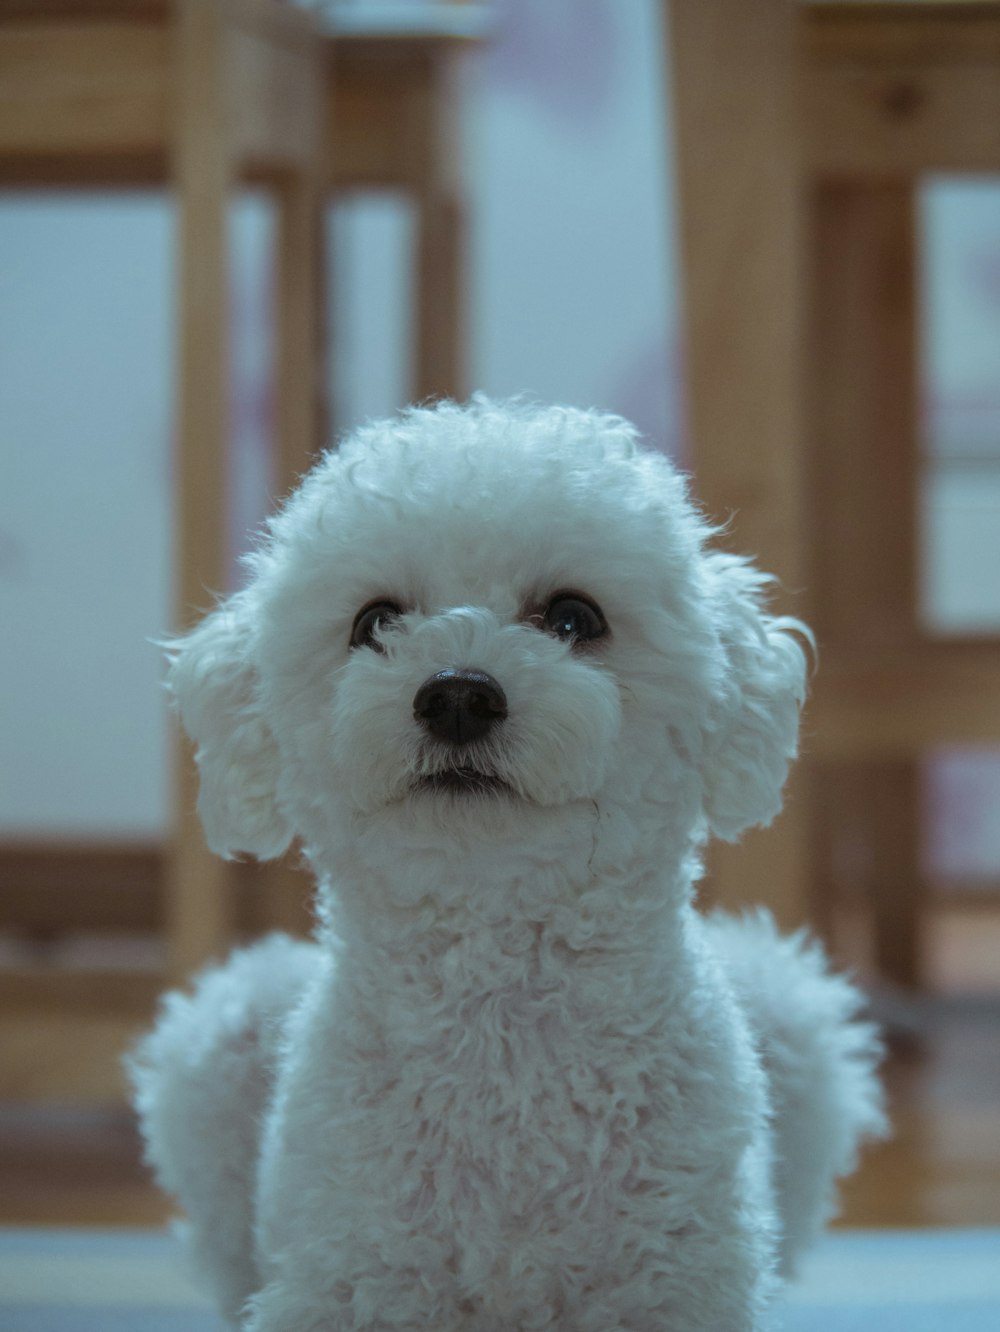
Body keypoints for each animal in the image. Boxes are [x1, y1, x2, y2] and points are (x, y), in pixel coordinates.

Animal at [129, 396, 889, 1332]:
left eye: (573, 617)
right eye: (374, 622)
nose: (458, 694)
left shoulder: (674, 1285)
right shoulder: (345, 1279)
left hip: (794, 1017)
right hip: (217, 1046)